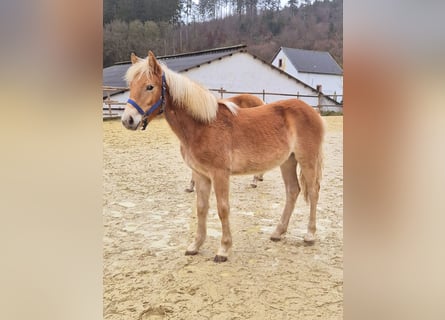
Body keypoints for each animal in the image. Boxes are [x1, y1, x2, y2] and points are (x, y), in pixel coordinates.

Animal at [120, 51, 322, 262]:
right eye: (131, 86)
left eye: (150, 86)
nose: (128, 120)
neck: (202, 126)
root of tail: (311, 110)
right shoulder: (201, 175)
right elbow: (201, 208)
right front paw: (195, 245)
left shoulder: (220, 174)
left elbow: (222, 208)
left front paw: (223, 249)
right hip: (288, 161)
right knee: (292, 191)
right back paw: (278, 232)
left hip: (307, 159)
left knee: (313, 191)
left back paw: (309, 235)